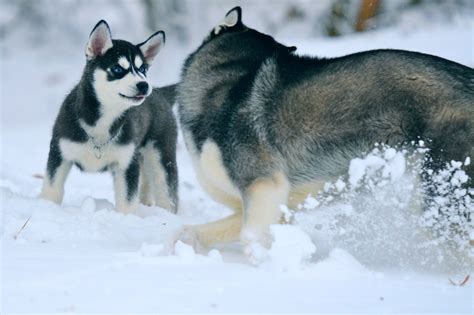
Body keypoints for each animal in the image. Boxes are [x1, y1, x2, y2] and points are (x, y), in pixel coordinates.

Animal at [39, 20, 178, 215]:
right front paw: (47, 206)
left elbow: (127, 201)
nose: (144, 85)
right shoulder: (59, 154)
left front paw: (127, 218)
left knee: (166, 192)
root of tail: (161, 94)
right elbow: (52, 189)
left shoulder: (126, 164)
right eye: (118, 69)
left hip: (160, 156)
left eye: (142, 69)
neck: (103, 121)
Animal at [177, 6, 474, 260]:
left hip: (441, 197)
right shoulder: (278, 203)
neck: (225, 84)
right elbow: (198, 231)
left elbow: (250, 236)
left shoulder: (264, 185)